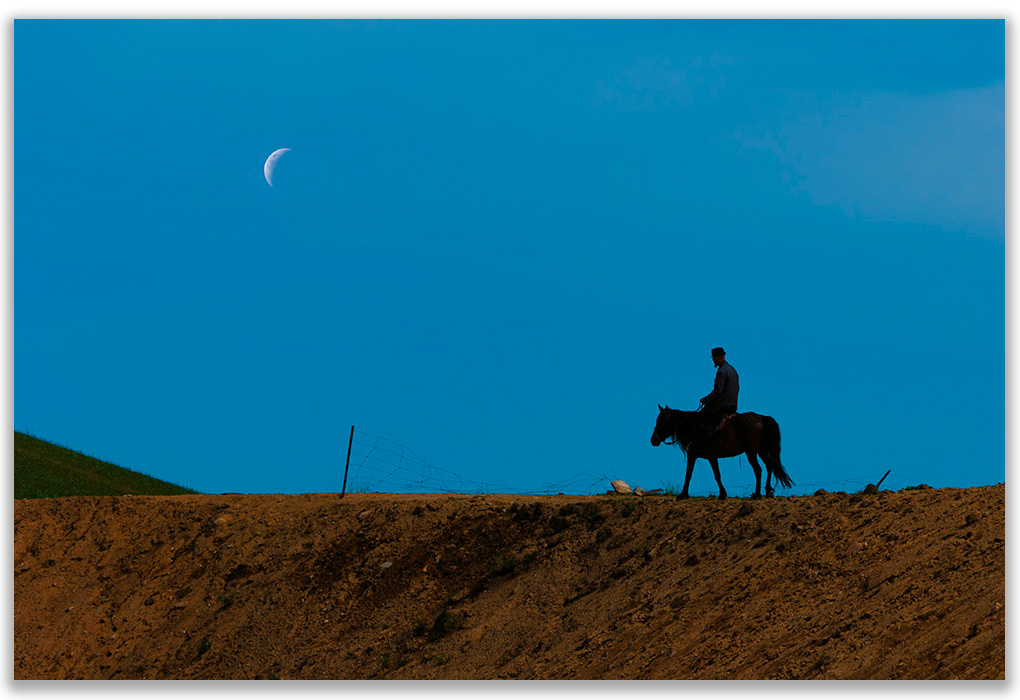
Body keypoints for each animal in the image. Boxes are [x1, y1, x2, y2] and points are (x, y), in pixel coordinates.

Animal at [648, 406, 791, 500]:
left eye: (659, 420)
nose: (653, 439)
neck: (691, 426)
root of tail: (761, 418)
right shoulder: (712, 457)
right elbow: (717, 475)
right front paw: (722, 494)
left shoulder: (692, 455)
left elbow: (688, 475)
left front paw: (682, 495)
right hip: (761, 451)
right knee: (769, 466)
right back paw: (767, 491)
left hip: (750, 452)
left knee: (758, 469)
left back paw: (757, 494)